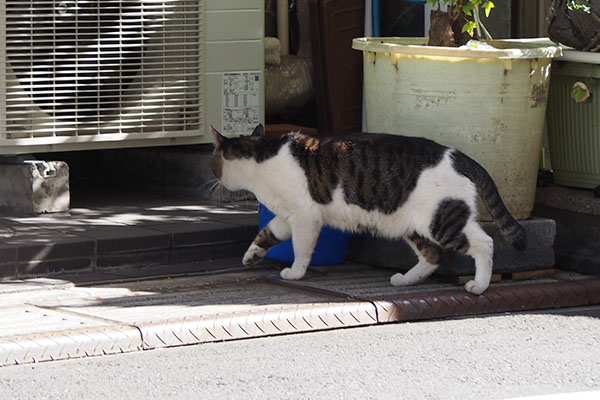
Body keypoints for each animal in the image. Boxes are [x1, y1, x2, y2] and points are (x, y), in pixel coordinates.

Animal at [210, 123, 524, 296]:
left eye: (214, 162)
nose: (212, 177)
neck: (262, 161)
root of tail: (460, 156)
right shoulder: (287, 216)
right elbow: (268, 233)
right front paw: (251, 255)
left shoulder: (304, 217)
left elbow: (301, 250)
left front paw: (295, 273)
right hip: (414, 225)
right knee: (433, 255)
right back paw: (405, 279)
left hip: (441, 219)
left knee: (485, 243)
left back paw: (479, 285)